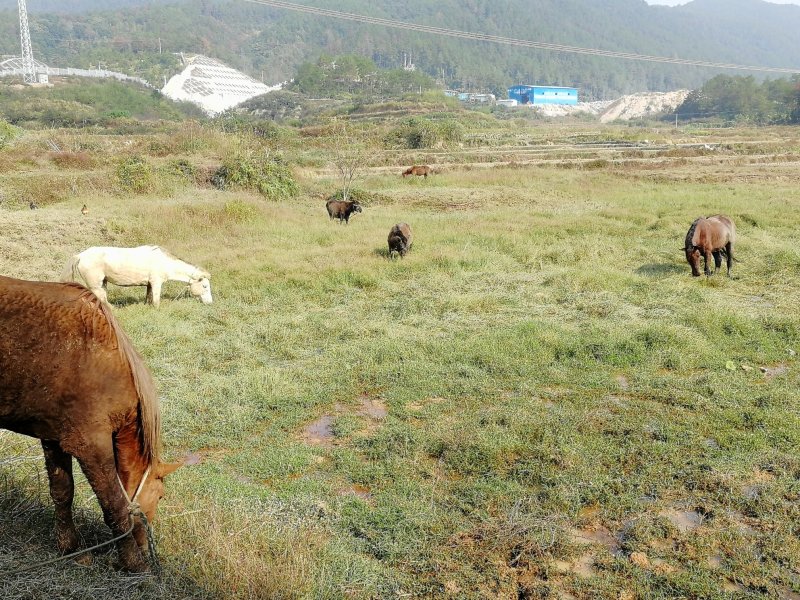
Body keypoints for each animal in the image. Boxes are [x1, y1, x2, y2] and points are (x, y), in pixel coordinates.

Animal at [0, 276, 181, 571]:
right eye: (160, 496)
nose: (146, 549)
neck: (105, 360)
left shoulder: (54, 437)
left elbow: (62, 492)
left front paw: (70, 548)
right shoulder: (91, 446)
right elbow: (114, 505)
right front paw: (133, 563)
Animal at [61, 245, 212, 307]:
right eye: (205, 286)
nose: (210, 302)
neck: (165, 262)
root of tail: (80, 255)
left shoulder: (150, 284)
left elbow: (149, 296)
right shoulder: (156, 282)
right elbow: (156, 301)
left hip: (102, 283)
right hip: (96, 285)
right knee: (102, 299)